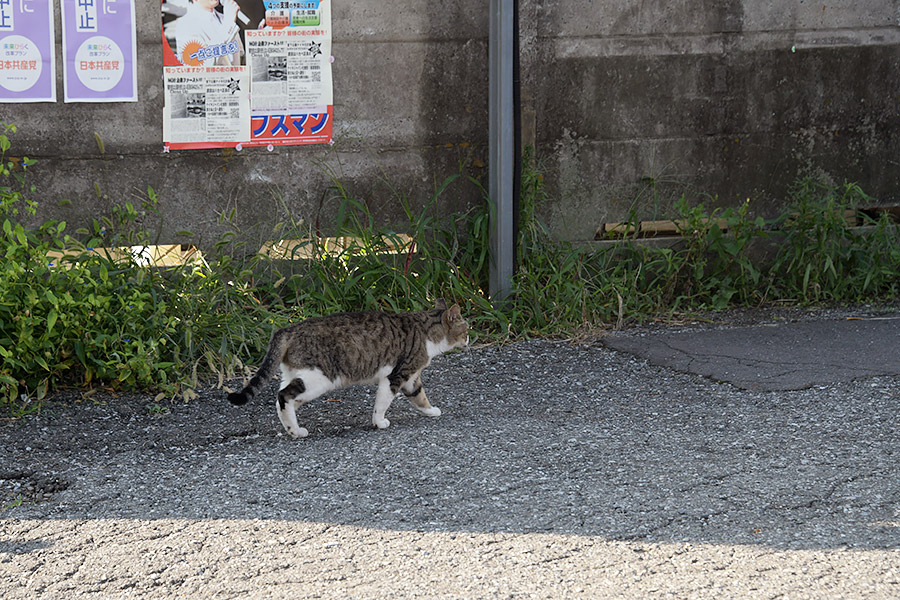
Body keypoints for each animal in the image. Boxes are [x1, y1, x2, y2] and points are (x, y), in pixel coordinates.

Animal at [227, 302, 472, 438]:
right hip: (318, 378)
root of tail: (288, 329)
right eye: (467, 328)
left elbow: (419, 396)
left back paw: (293, 429)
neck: (426, 331)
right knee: (283, 396)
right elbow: (382, 403)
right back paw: (295, 431)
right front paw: (379, 422)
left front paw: (430, 411)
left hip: (295, 374)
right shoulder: (396, 375)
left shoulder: (411, 377)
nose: (470, 338)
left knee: (283, 400)